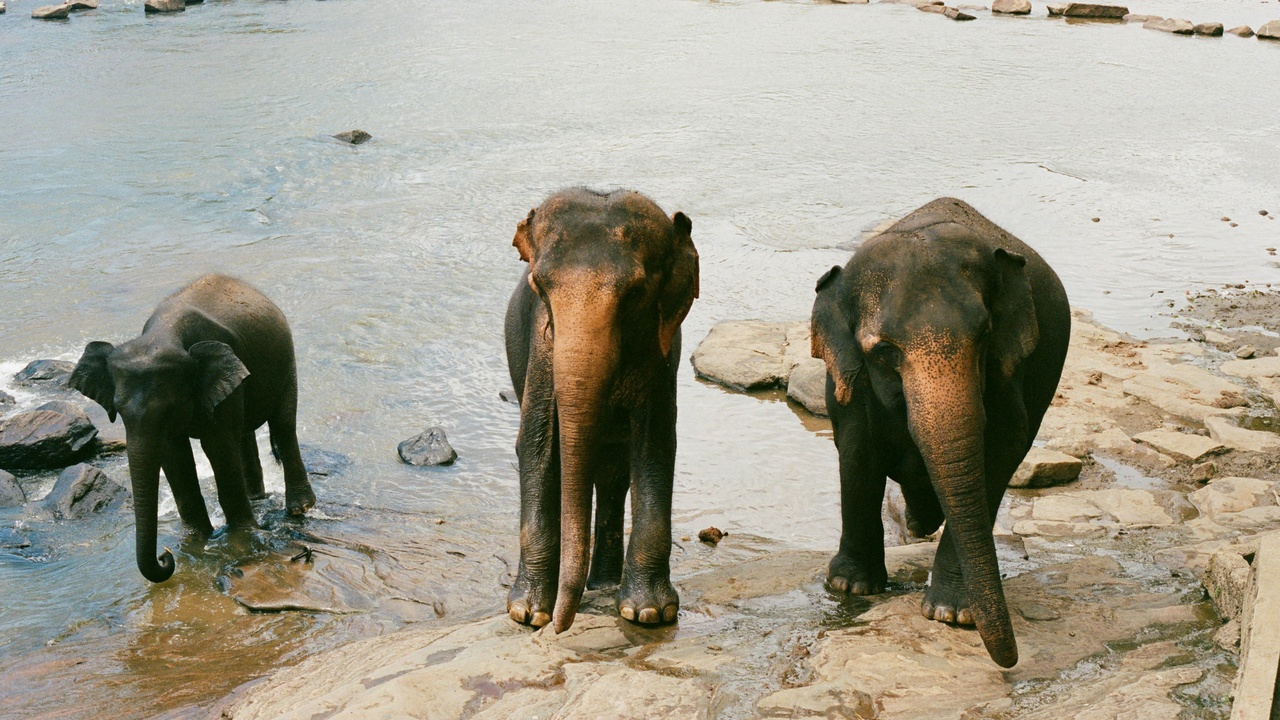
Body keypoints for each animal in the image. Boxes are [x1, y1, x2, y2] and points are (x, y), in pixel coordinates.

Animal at [69, 274, 315, 583]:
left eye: (169, 409)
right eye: (118, 410)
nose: (164, 556)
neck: (162, 336)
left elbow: (217, 445)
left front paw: (241, 539)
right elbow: (174, 453)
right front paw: (196, 539)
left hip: (285, 361)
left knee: (283, 425)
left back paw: (299, 508)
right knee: (243, 434)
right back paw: (257, 498)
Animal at [504, 188, 699, 633]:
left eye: (636, 292)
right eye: (539, 287)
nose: (560, 627)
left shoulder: (660, 355)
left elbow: (656, 445)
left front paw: (648, 613)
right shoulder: (542, 350)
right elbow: (537, 445)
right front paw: (528, 613)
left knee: (613, 476)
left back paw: (606, 585)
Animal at [810, 197, 1069, 668]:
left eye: (985, 335)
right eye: (885, 351)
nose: (1011, 661)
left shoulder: (1008, 372)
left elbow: (1003, 447)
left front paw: (951, 613)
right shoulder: (848, 377)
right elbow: (857, 446)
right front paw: (850, 587)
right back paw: (917, 522)